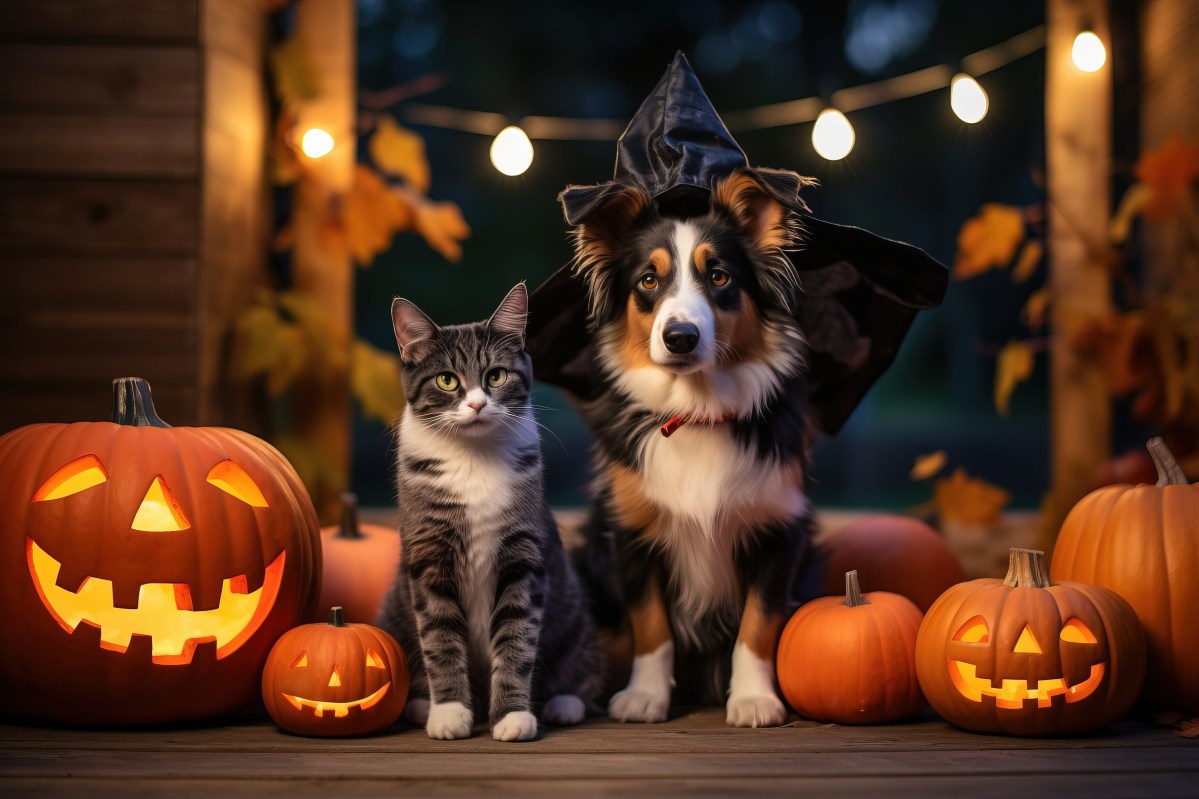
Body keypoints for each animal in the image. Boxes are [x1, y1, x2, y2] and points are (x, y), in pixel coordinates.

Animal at [378, 283, 604, 739]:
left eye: (495, 376)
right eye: (446, 380)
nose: (477, 405)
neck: (473, 458)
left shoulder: (524, 557)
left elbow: (517, 639)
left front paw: (513, 717)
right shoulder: (429, 556)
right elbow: (440, 639)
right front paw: (449, 713)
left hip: (574, 617)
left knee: (580, 671)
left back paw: (564, 704)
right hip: (393, 613)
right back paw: (421, 705)